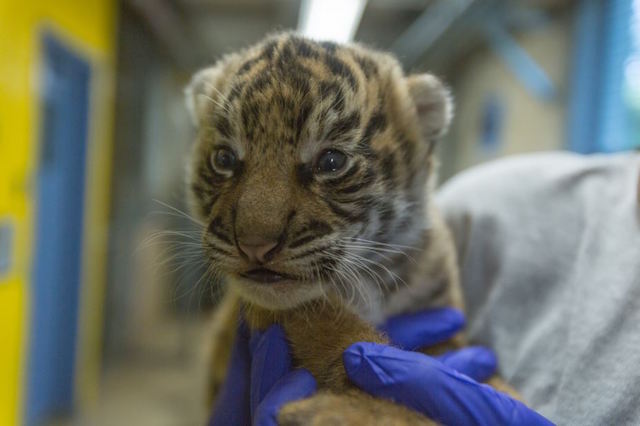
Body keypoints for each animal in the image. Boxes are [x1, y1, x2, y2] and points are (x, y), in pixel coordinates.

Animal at [184, 32, 498, 425]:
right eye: (224, 159)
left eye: (331, 162)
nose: (255, 245)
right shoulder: (267, 307)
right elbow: (336, 332)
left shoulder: (440, 308)